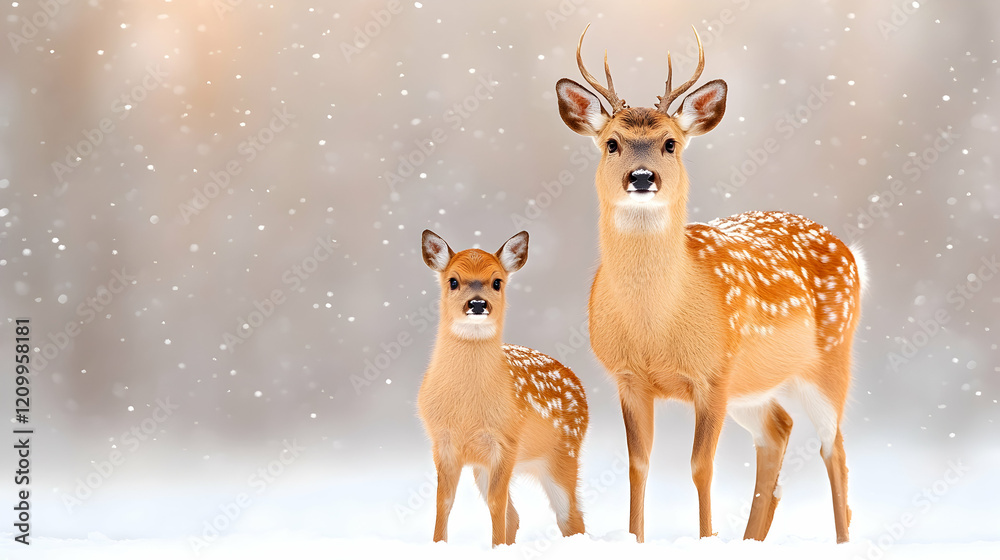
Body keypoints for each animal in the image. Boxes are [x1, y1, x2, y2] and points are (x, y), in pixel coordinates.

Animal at [417, 230, 589, 547]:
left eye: (497, 281)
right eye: (453, 281)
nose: (477, 304)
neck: (466, 410)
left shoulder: (506, 441)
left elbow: (497, 507)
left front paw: (495, 548)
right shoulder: (443, 443)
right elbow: (443, 502)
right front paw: (438, 545)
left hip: (564, 454)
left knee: (570, 517)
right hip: (484, 467)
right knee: (518, 515)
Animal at [554, 25, 865, 544]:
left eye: (670, 143)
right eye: (612, 143)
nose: (643, 177)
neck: (657, 326)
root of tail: (849, 251)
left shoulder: (715, 373)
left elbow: (701, 466)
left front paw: (706, 539)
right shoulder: (628, 376)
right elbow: (638, 465)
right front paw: (637, 539)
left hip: (829, 358)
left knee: (834, 448)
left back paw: (841, 542)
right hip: (754, 385)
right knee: (778, 430)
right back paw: (751, 539)